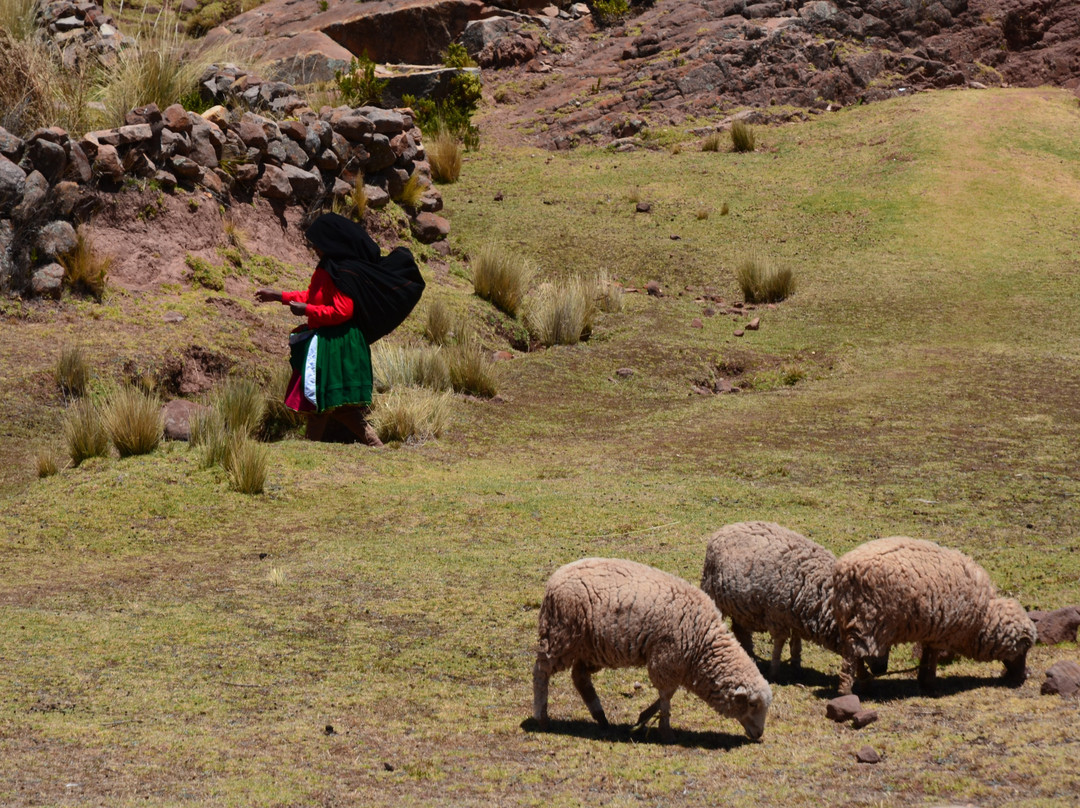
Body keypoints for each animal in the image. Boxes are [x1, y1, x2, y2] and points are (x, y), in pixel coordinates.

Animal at [529, 557, 768, 743]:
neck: (703, 641)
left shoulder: (675, 664)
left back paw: (601, 717)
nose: (759, 734)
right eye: (752, 704)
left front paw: (644, 718)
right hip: (561, 635)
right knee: (541, 670)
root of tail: (555, 578)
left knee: (579, 677)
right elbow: (666, 696)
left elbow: (669, 693)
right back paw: (542, 717)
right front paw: (666, 731)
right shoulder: (666, 658)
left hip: (591, 647)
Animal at [699, 520, 885, 678]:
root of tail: (727, 528)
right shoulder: (777, 618)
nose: (881, 670)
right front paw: (774, 671)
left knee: (740, 629)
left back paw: (749, 653)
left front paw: (796, 665)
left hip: (741, 605)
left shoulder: (796, 614)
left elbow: (796, 641)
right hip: (713, 594)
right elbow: (779, 643)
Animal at [825, 535, 1036, 695]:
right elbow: (932, 657)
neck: (982, 618)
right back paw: (847, 690)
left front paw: (923, 681)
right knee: (853, 655)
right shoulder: (943, 631)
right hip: (867, 619)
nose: (1024, 676)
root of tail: (845, 571)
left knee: (853, 653)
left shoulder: (933, 629)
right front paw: (931, 684)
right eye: (1024, 648)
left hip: (849, 619)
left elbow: (927, 655)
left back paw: (864, 683)